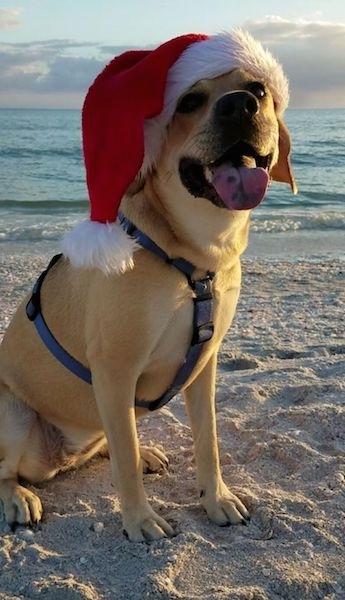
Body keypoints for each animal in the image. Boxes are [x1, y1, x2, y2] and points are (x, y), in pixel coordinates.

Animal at [0, 58, 296, 540]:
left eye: (258, 89)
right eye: (189, 101)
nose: (240, 105)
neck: (195, 255)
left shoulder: (204, 364)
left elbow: (208, 443)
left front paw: (216, 499)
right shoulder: (115, 369)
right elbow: (125, 461)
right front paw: (139, 520)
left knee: (109, 442)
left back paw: (142, 453)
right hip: (15, 412)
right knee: (10, 470)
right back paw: (19, 496)